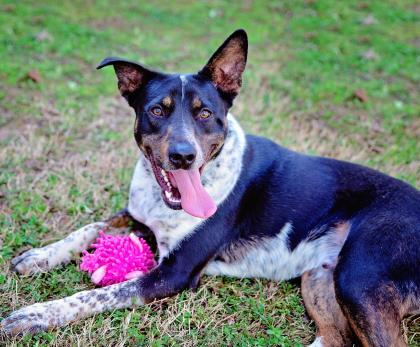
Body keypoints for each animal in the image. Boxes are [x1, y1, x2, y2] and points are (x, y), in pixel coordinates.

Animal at [1, 29, 418, 347]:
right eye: (157, 110)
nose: (183, 156)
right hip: (320, 279)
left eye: (205, 113)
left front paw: (34, 315)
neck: (164, 201)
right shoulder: (137, 216)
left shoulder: (174, 273)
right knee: (335, 338)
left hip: (358, 279)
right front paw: (40, 256)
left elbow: (97, 293)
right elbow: (90, 227)